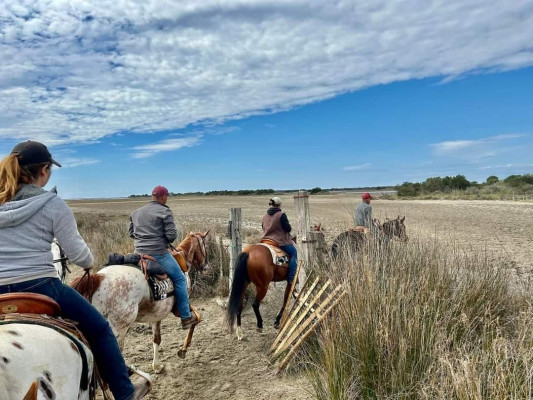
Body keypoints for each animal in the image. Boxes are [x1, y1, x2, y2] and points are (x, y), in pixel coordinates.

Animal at [70, 231, 210, 373]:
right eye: (205, 245)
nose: (205, 268)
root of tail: (97, 278)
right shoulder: (181, 307)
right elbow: (196, 319)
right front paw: (183, 349)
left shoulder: (156, 314)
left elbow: (156, 339)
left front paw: (156, 366)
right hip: (119, 328)